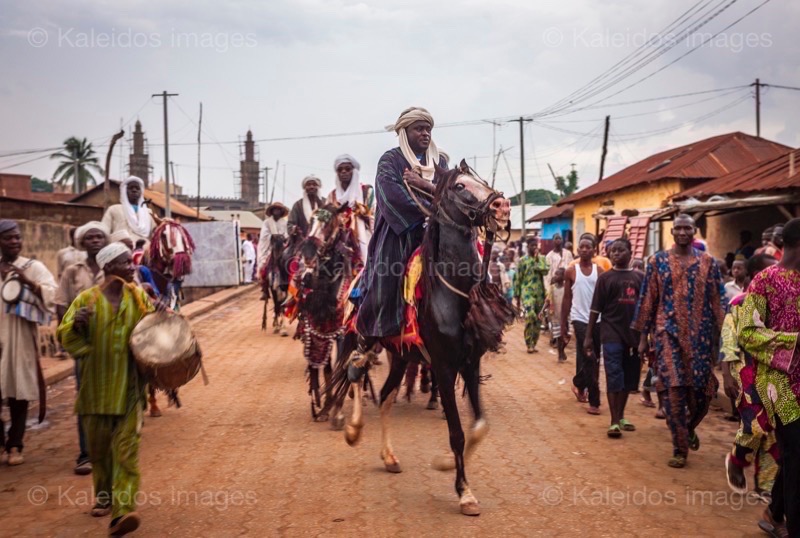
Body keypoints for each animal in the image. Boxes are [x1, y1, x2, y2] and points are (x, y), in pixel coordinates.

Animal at [292, 203, 360, 420]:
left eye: (328, 223)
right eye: (311, 221)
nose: (308, 252)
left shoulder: (340, 332)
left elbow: (340, 363)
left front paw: (335, 405)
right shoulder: (317, 329)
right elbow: (325, 367)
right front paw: (324, 404)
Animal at [324, 162, 512, 516]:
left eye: (481, 180)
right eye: (461, 186)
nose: (501, 206)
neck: (455, 291)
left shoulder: (471, 363)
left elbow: (479, 426)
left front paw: (446, 465)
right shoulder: (443, 366)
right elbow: (457, 433)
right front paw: (464, 491)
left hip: (399, 356)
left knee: (384, 396)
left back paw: (389, 456)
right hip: (360, 339)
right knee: (354, 373)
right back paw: (352, 428)